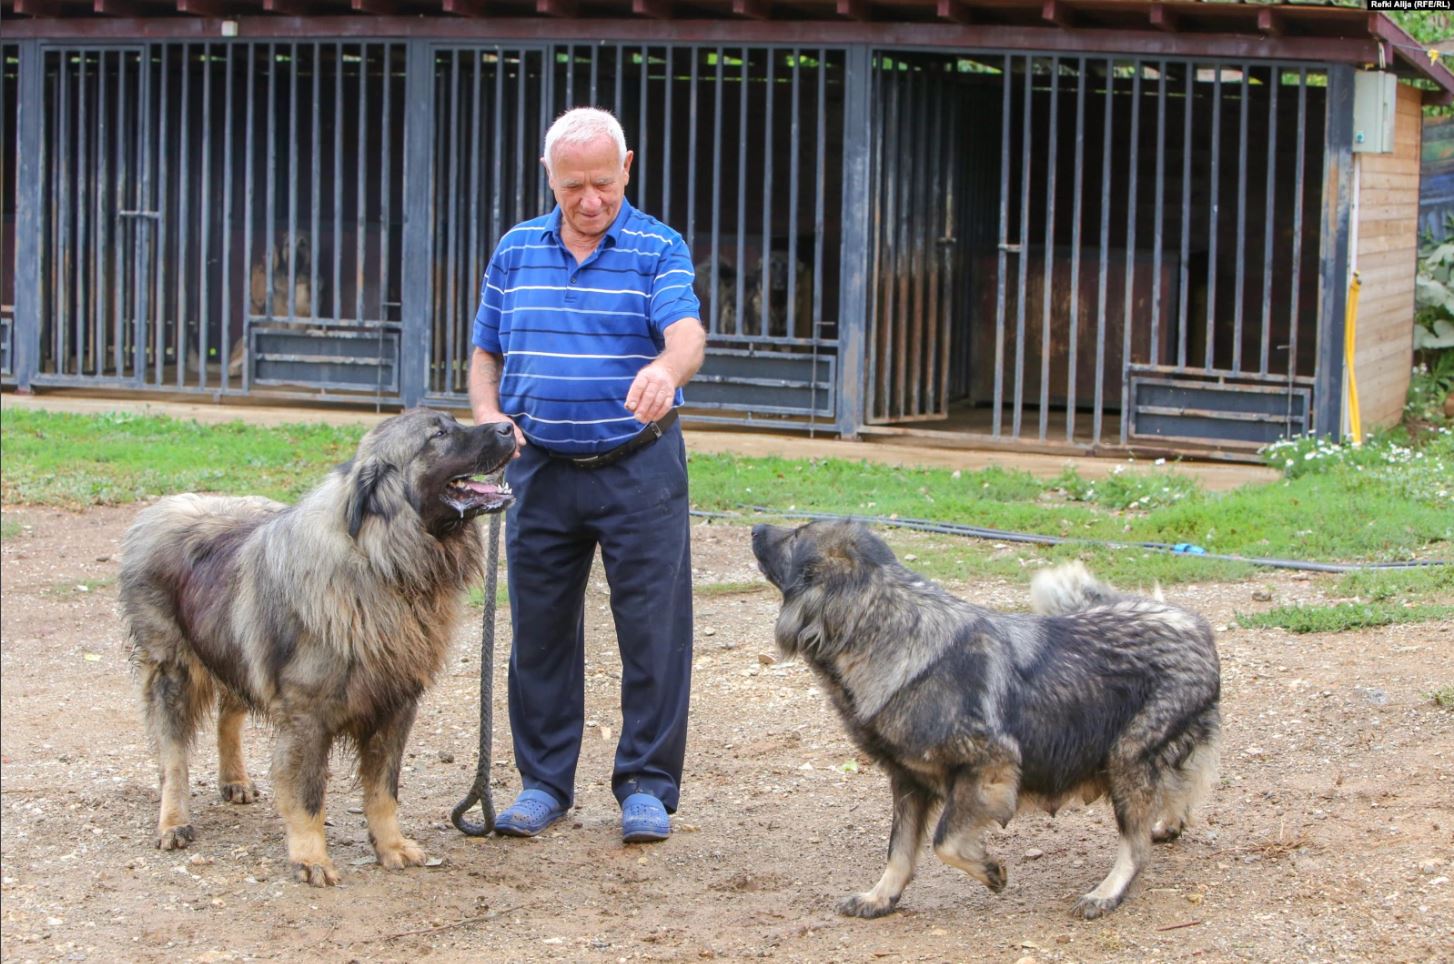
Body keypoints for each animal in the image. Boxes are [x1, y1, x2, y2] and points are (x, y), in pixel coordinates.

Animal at [120, 410, 517, 884]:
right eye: (438, 434)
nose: (509, 427)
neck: (383, 563)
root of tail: (163, 507)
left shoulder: (396, 706)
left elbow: (383, 790)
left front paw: (391, 846)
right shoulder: (307, 716)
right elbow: (308, 795)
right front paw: (311, 858)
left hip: (235, 651)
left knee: (228, 714)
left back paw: (234, 780)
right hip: (172, 669)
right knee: (173, 756)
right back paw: (174, 822)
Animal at [756, 520, 1221, 918]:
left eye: (795, 536)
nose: (756, 528)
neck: (888, 634)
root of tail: (1192, 623)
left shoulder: (989, 765)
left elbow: (944, 842)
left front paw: (989, 871)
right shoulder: (907, 781)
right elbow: (899, 852)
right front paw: (880, 897)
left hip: (1126, 756)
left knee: (1135, 845)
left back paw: (1106, 892)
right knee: (1183, 783)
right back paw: (1169, 822)